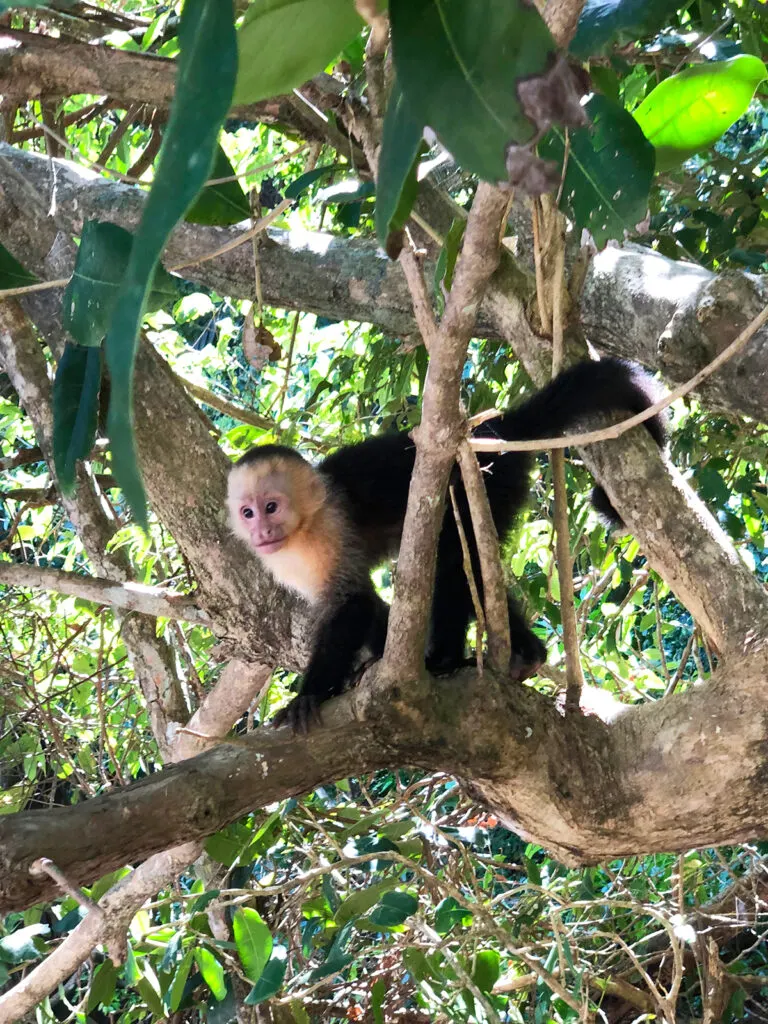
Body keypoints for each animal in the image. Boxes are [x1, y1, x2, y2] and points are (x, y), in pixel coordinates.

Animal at [228, 356, 667, 733]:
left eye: (271, 507)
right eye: (247, 512)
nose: (261, 533)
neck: (303, 527)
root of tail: (495, 431)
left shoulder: (329, 531)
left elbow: (352, 603)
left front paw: (312, 694)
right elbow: (369, 605)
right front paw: (362, 669)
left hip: (487, 483)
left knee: (455, 561)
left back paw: (450, 660)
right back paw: (527, 654)